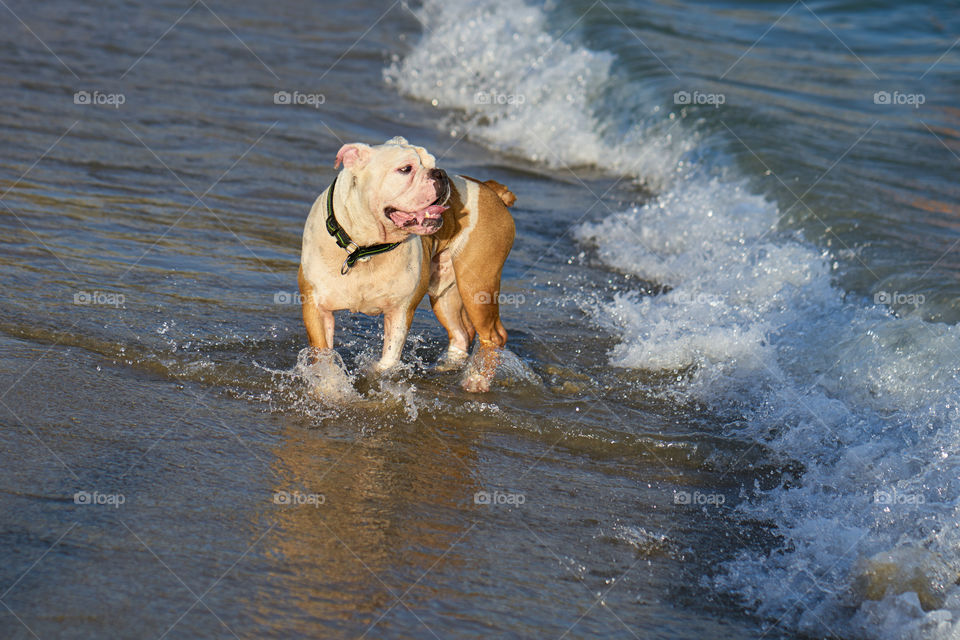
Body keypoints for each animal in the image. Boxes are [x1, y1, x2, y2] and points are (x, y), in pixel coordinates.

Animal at [298, 138, 516, 392]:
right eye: (405, 169)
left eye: (432, 163)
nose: (440, 173)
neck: (365, 249)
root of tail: (491, 190)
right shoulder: (316, 308)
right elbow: (323, 355)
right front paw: (331, 386)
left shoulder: (400, 311)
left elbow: (387, 361)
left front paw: (375, 378)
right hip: (444, 293)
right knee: (462, 332)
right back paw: (447, 365)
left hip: (477, 287)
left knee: (494, 335)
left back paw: (477, 379)